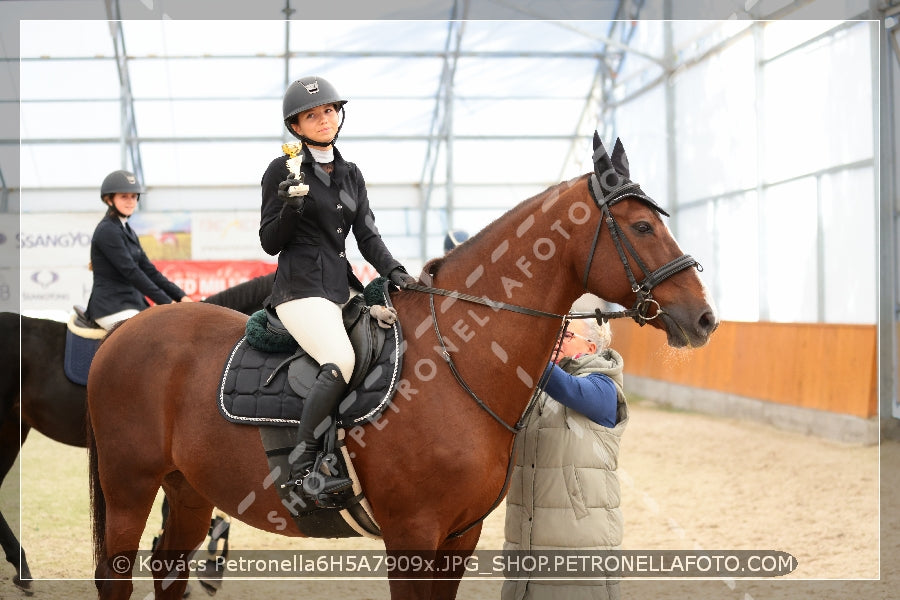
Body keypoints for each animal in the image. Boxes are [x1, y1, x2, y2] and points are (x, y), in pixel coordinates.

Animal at [88, 136, 720, 600]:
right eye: (643, 227)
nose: (705, 318)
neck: (455, 362)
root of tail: (122, 334)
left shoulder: (459, 536)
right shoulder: (413, 536)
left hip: (189, 489)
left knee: (167, 571)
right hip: (129, 486)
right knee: (117, 577)